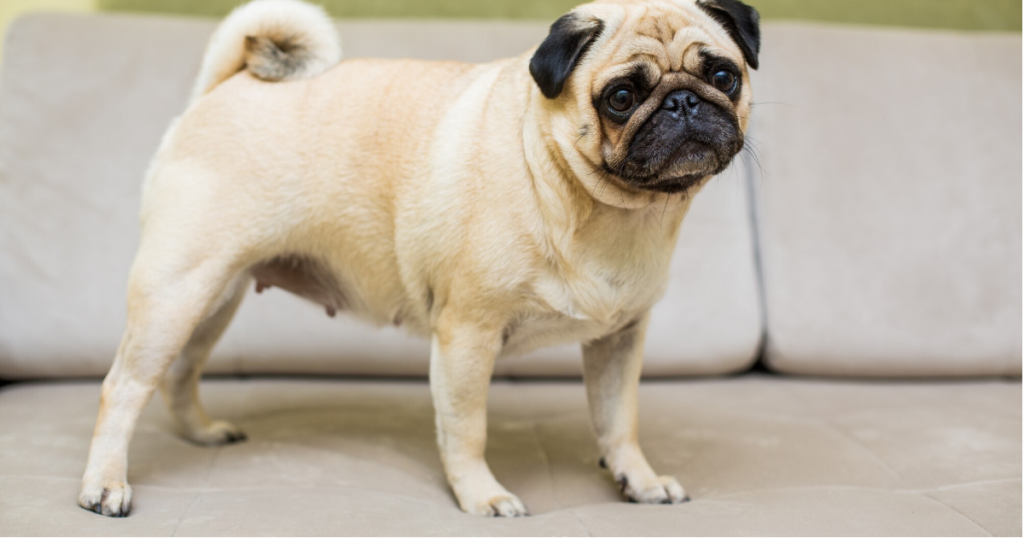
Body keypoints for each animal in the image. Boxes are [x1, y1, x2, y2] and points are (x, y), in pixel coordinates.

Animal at [79, 0, 761, 516]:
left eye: (724, 76)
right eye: (620, 96)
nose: (683, 102)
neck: (606, 210)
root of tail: (227, 84)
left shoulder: (620, 338)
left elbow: (619, 420)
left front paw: (639, 481)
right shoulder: (467, 335)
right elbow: (466, 428)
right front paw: (482, 497)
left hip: (214, 298)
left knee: (179, 372)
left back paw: (202, 433)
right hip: (178, 289)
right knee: (124, 387)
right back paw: (105, 486)